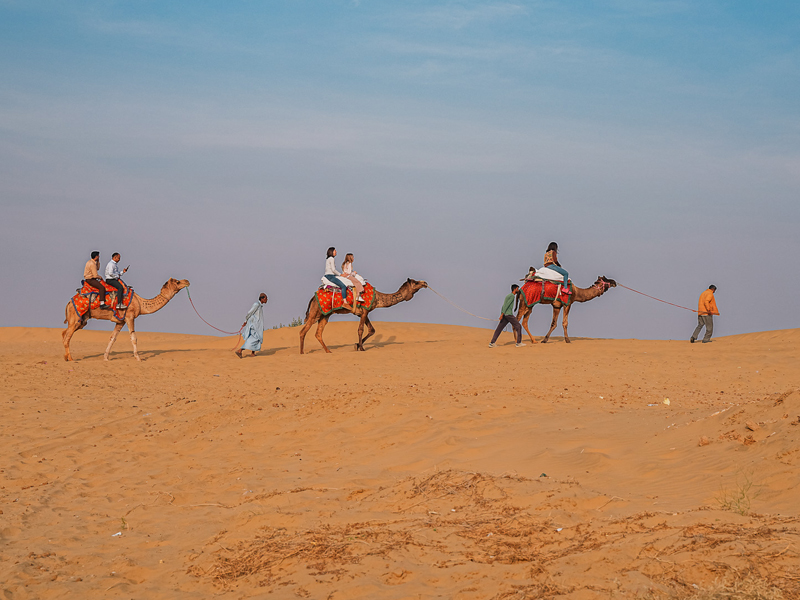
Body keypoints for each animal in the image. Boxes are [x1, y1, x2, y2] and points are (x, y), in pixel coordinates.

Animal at [62, 278, 191, 360]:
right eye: (178, 281)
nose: (187, 281)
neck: (140, 303)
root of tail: (69, 302)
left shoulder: (121, 321)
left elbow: (112, 338)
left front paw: (106, 358)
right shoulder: (129, 317)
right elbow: (133, 338)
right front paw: (138, 358)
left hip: (82, 320)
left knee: (64, 333)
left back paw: (66, 357)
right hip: (76, 317)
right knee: (67, 336)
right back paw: (71, 358)